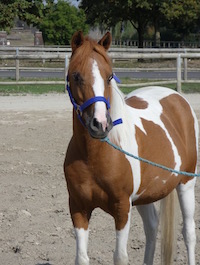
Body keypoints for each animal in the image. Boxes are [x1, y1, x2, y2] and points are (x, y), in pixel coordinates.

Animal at [64, 31, 198, 264]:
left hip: (187, 183)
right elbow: (81, 257)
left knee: (189, 232)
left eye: (109, 76)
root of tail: (176, 97)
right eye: (76, 75)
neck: (94, 157)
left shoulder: (122, 208)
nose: (100, 124)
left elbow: (120, 256)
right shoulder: (78, 208)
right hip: (146, 195)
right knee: (152, 227)